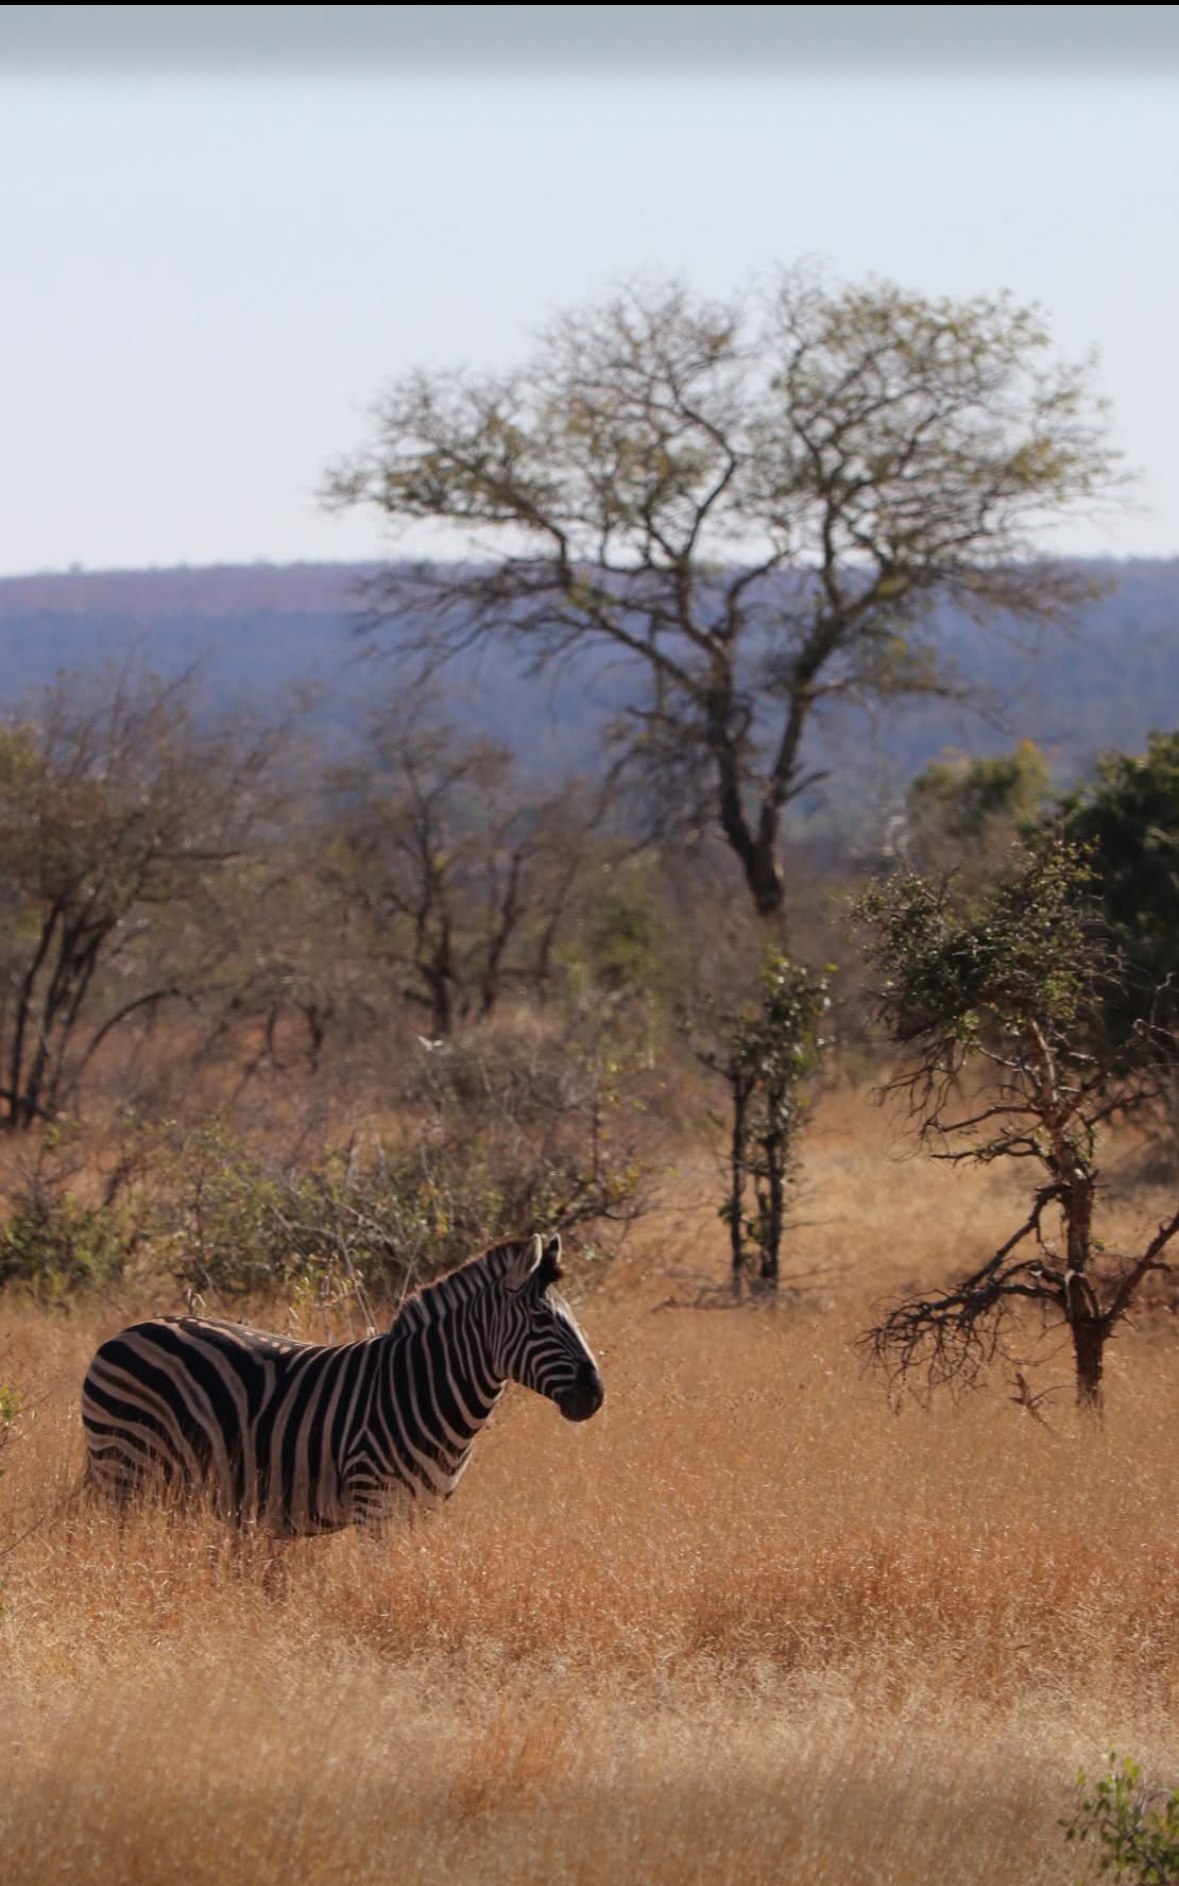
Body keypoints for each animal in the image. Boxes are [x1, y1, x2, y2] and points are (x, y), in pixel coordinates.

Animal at [80, 1232, 603, 1536]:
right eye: (541, 1319)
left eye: (572, 1317)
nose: (596, 1395)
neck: (425, 1388)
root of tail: (123, 1334)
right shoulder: (376, 1504)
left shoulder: (424, 1510)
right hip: (127, 1463)